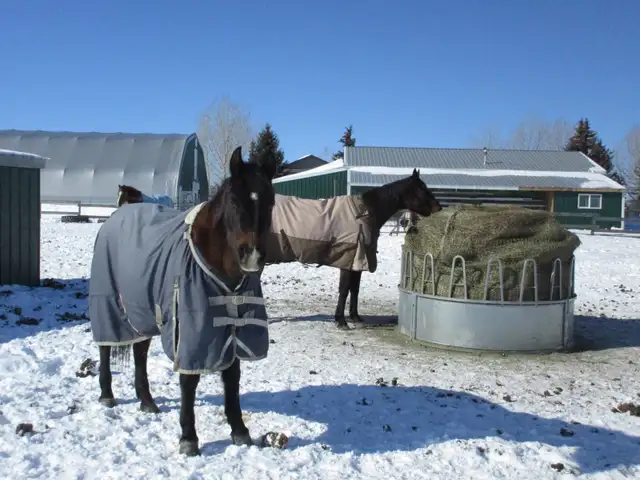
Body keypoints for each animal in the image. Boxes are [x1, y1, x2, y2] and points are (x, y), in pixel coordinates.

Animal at [90, 146, 277, 456]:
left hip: (142, 311)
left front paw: (239, 430)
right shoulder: (191, 326)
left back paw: (147, 401)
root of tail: (117, 216)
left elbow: (232, 377)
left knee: (140, 353)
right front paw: (189, 438)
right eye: (234, 201)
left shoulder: (231, 325)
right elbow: (189, 381)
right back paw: (107, 395)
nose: (252, 256)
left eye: (271, 202)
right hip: (109, 302)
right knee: (106, 347)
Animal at [262, 168, 441, 329]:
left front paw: (355, 317)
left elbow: (355, 289)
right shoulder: (348, 262)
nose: (438, 208)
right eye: (421, 188)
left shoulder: (358, 263)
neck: (364, 213)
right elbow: (344, 290)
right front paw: (341, 321)